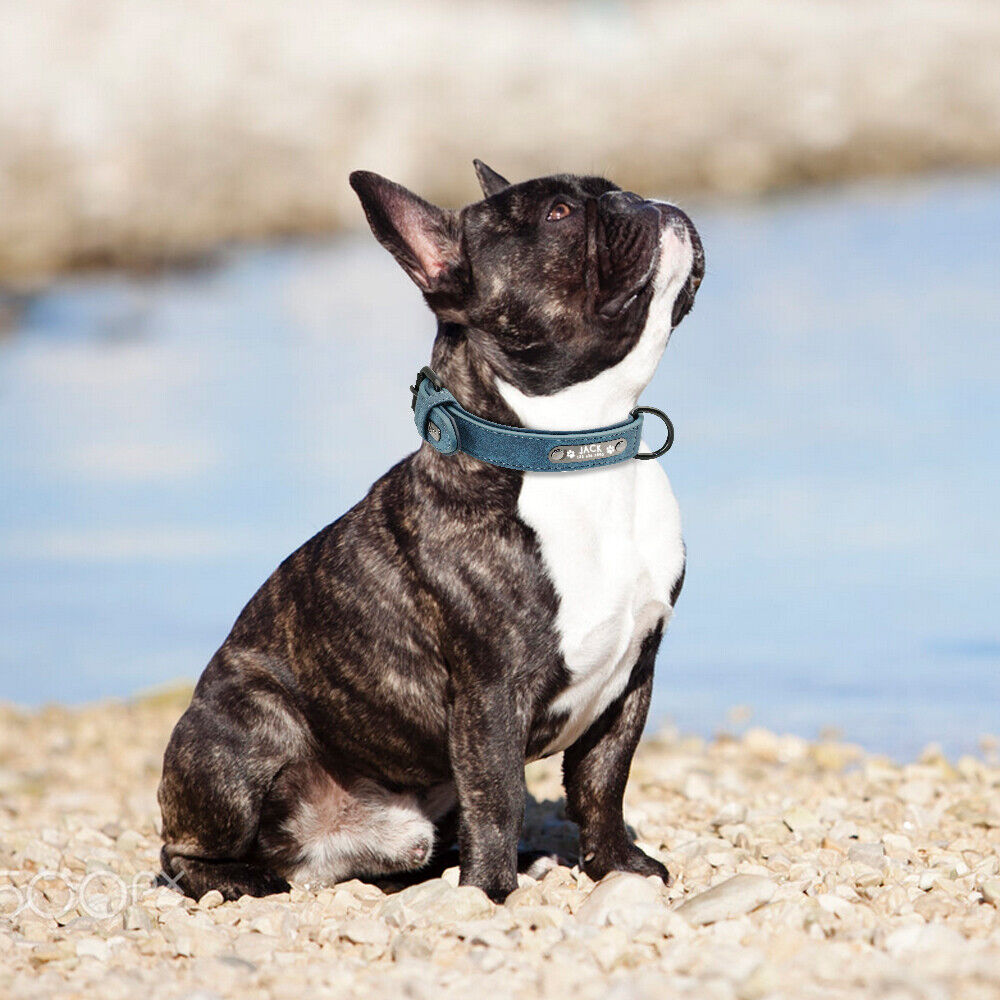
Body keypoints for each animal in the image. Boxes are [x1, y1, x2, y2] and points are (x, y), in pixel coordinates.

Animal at [158, 160, 704, 904]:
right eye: (560, 213)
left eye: (608, 186)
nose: (638, 199)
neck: (576, 451)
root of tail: (313, 855)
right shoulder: (490, 696)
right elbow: (498, 797)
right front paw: (492, 894)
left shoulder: (631, 680)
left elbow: (602, 784)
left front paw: (616, 866)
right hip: (248, 726)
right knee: (183, 850)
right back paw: (242, 879)